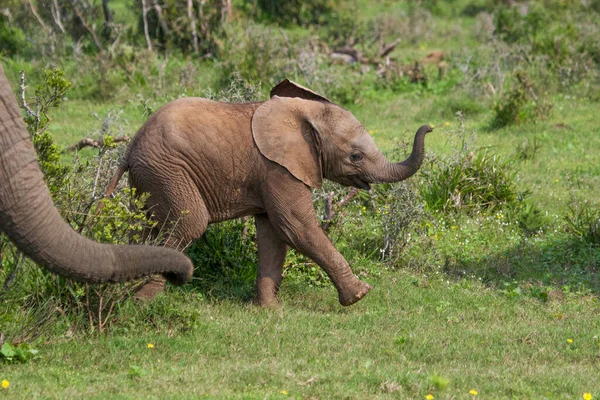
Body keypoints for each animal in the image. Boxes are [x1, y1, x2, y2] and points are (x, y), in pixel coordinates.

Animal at [104, 80, 432, 306]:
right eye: (355, 156)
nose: (428, 127)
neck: (306, 113)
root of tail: (130, 146)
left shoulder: (270, 173)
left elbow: (273, 234)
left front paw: (270, 310)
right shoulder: (277, 168)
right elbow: (296, 227)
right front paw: (359, 295)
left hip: (150, 178)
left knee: (146, 227)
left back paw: (126, 293)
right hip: (168, 171)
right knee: (188, 224)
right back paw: (142, 302)